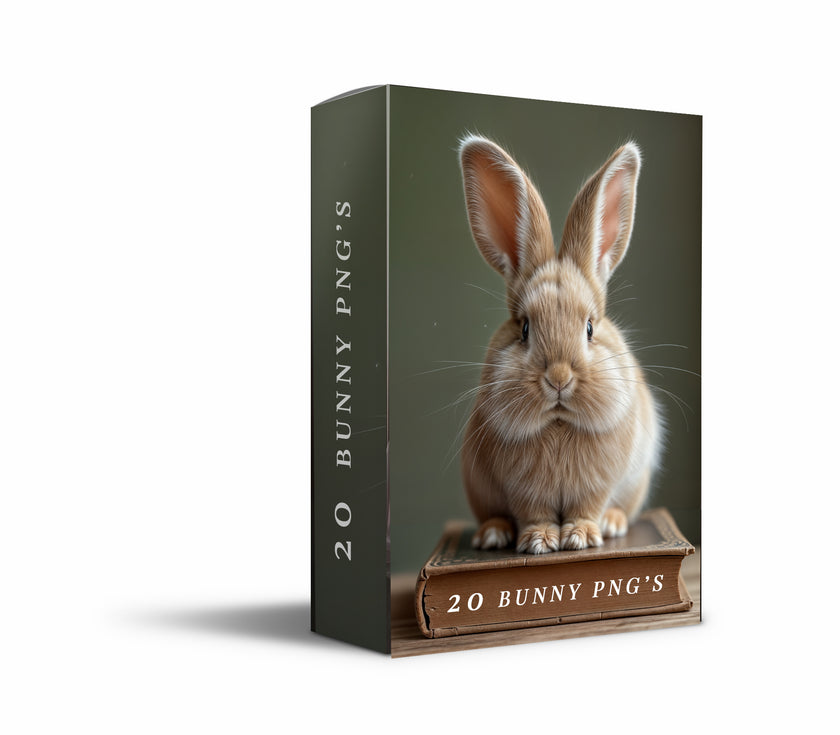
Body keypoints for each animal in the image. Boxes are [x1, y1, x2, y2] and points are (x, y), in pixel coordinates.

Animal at [458, 135, 662, 554]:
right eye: (524, 329)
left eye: (589, 327)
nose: (558, 378)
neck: (557, 423)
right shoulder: (522, 491)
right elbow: (532, 513)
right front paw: (538, 542)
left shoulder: (598, 486)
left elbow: (588, 506)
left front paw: (581, 537)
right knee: (494, 515)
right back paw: (493, 535)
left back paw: (613, 523)